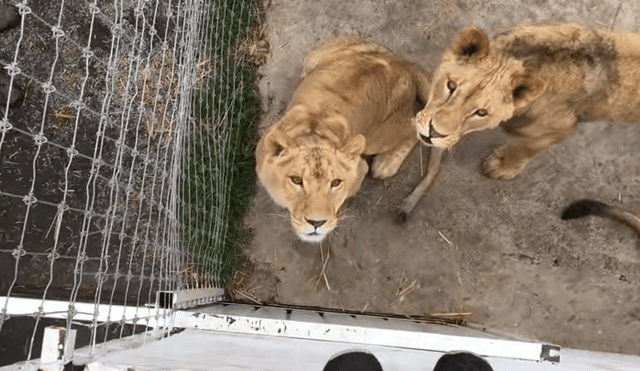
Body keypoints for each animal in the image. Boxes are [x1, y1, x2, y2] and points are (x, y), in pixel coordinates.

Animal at [258, 37, 432, 241]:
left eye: (335, 182)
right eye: (296, 180)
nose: (316, 223)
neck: (314, 131)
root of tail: (402, 62)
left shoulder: (360, 168)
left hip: (378, 138)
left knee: (415, 125)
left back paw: (386, 164)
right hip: (314, 58)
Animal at [412, 23, 640, 180]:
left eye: (481, 113)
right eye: (451, 86)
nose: (433, 133)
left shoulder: (557, 129)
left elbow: (524, 150)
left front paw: (502, 167)